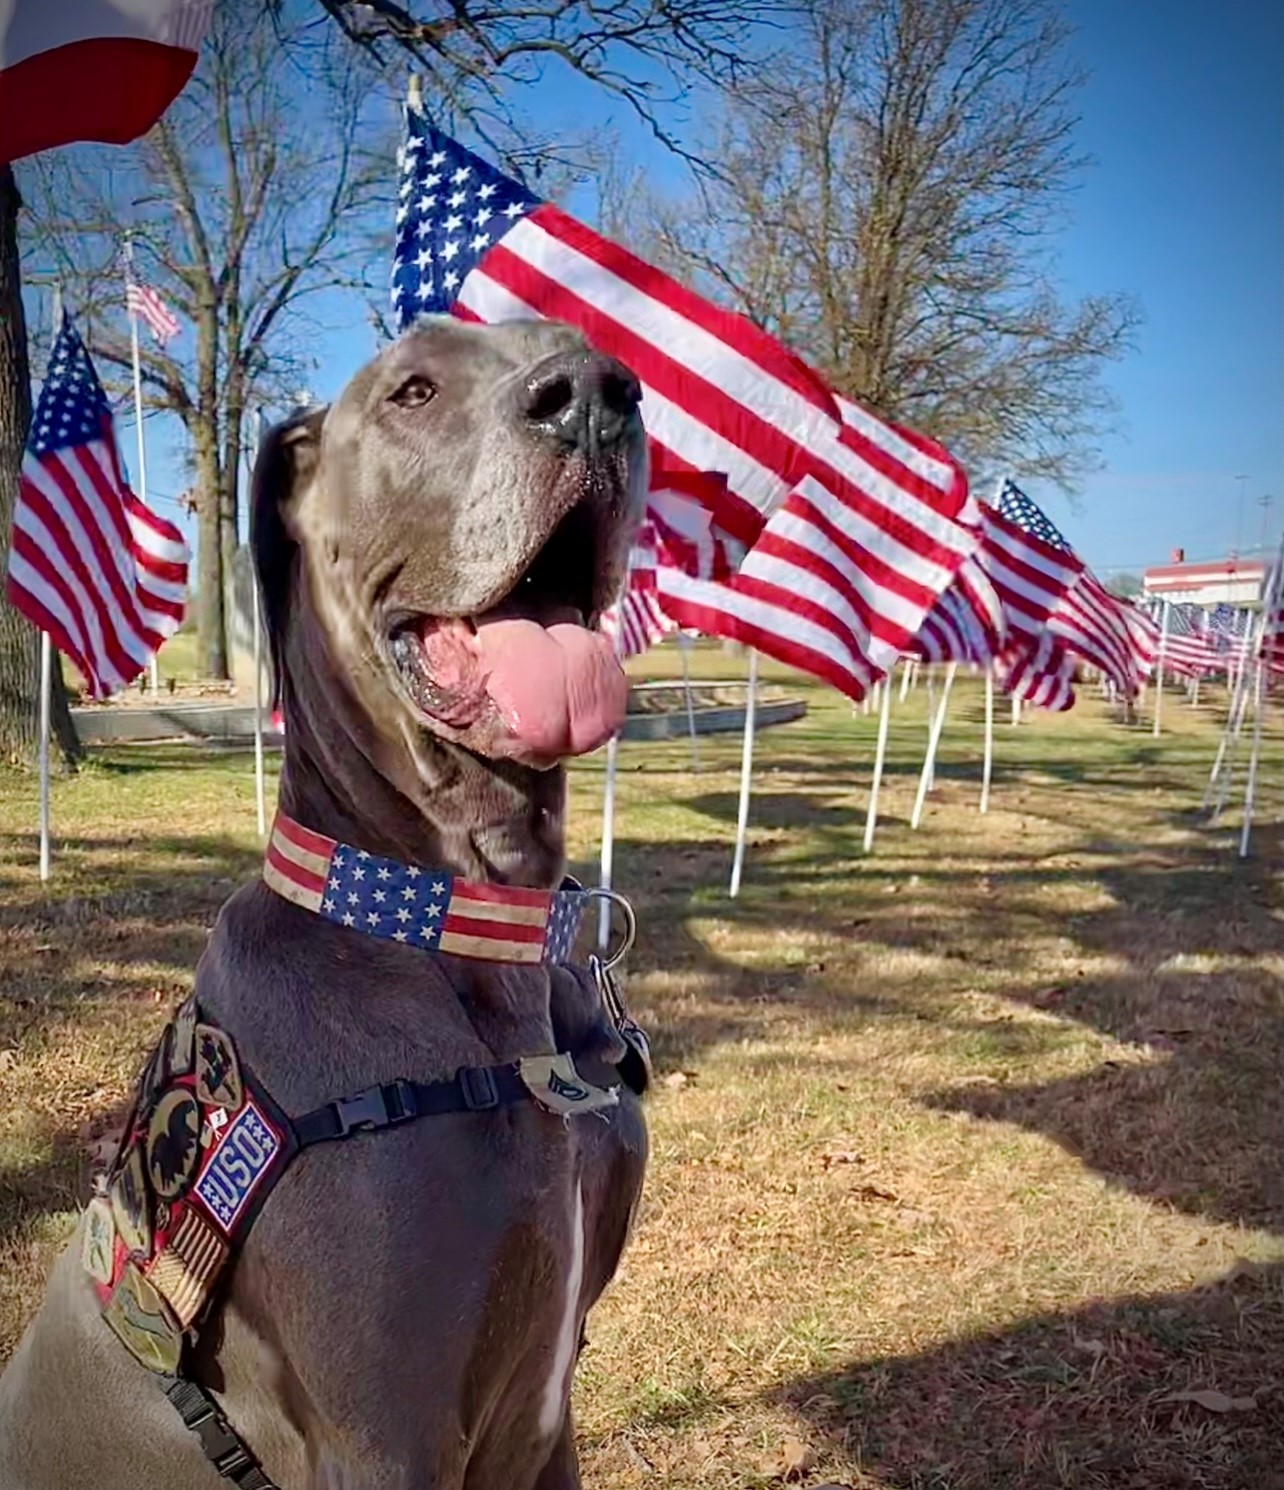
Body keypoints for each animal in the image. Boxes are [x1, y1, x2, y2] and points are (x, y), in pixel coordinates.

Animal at [0, 317, 652, 1490]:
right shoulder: (381, 1433)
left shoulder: (549, 1407)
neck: (453, 915)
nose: (593, 395)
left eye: (577, 345)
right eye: (413, 390)